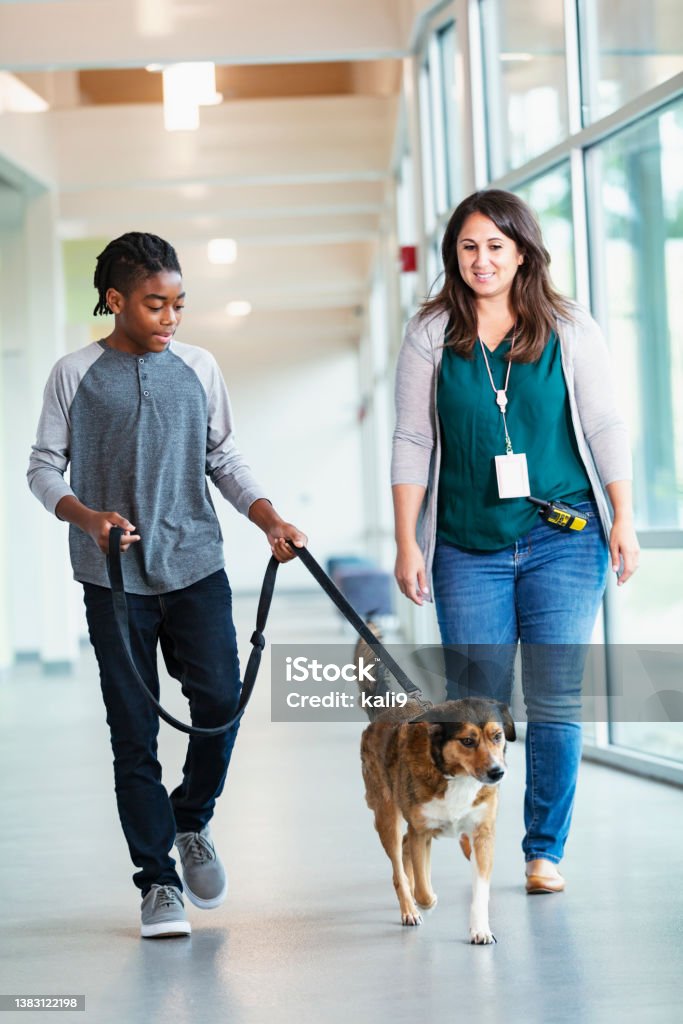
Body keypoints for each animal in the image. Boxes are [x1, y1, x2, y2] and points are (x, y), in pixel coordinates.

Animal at [358, 630, 511, 942]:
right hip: (386, 816)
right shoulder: (422, 831)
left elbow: (480, 890)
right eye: (468, 741)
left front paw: (480, 929)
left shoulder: (483, 834)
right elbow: (422, 889)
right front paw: (424, 899)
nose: (497, 772)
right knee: (399, 865)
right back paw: (409, 909)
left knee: (405, 848)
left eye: (497, 736)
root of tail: (384, 710)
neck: (455, 778)